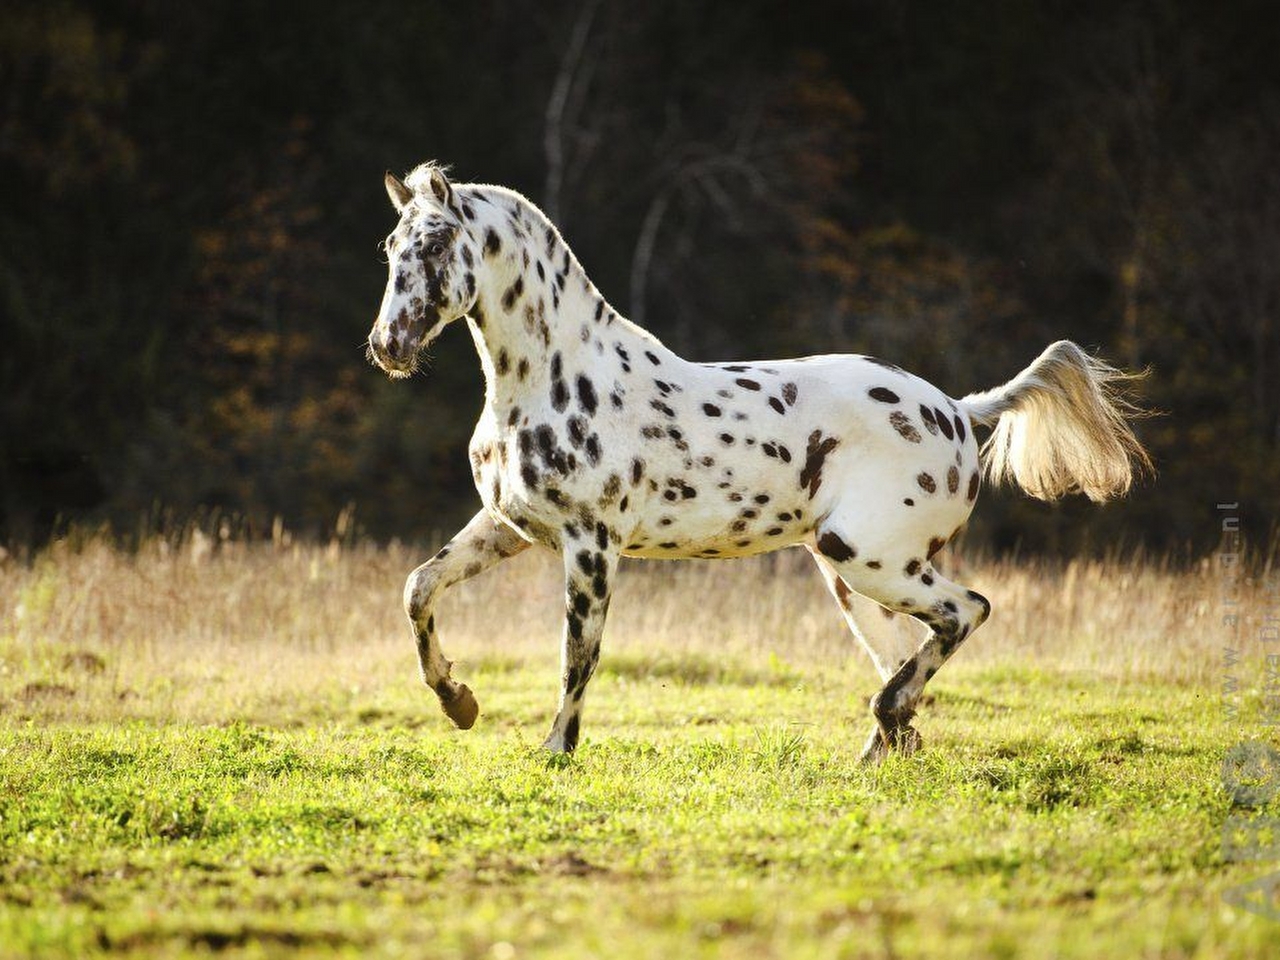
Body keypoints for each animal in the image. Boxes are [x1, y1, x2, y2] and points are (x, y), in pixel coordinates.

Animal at [366, 165, 1157, 768]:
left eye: (435, 247)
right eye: (391, 248)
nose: (387, 347)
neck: (556, 377)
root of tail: (961, 411)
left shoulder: (592, 546)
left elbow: (578, 656)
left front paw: (555, 750)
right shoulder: (510, 527)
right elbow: (416, 589)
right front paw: (459, 703)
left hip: (870, 559)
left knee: (967, 613)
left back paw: (886, 724)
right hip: (856, 578)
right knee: (911, 648)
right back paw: (882, 748)